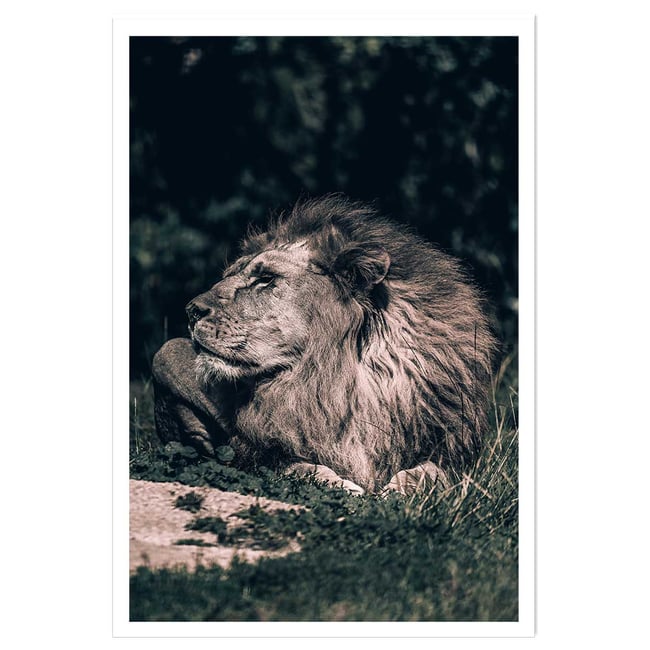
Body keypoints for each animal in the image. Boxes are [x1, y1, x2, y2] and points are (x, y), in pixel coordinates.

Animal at [152, 195, 497, 495]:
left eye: (265, 279)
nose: (191, 310)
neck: (338, 381)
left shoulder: (453, 451)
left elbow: (433, 473)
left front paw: (397, 491)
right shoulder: (259, 452)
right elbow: (302, 467)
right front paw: (348, 488)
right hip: (164, 354)